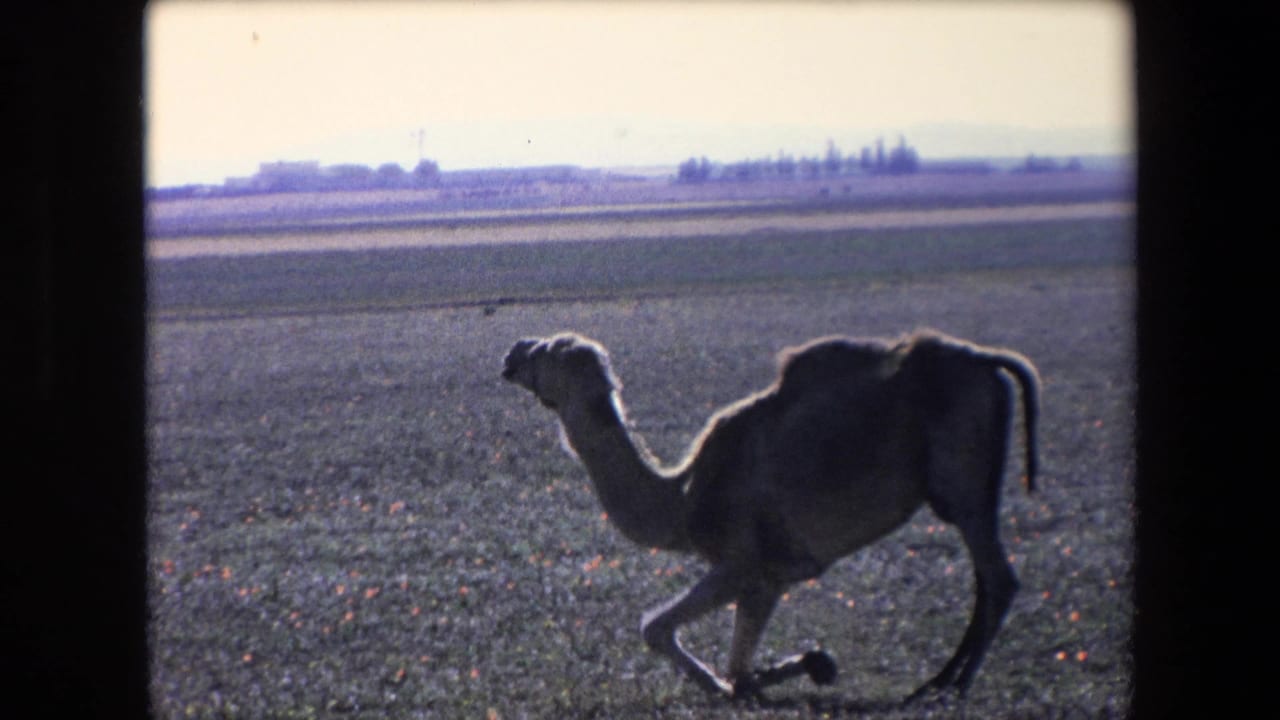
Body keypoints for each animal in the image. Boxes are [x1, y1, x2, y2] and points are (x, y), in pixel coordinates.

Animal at [501, 329, 1039, 701]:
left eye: (548, 351)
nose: (512, 352)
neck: (682, 499)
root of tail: (988, 362)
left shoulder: (743, 564)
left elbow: (657, 630)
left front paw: (724, 683)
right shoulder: (774, 577)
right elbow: (738, 667)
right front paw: (809, 663)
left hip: (961, 480)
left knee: (997, 577)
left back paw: (949, 686)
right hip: (967, 485)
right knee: (986, 576)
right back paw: (941, 680)